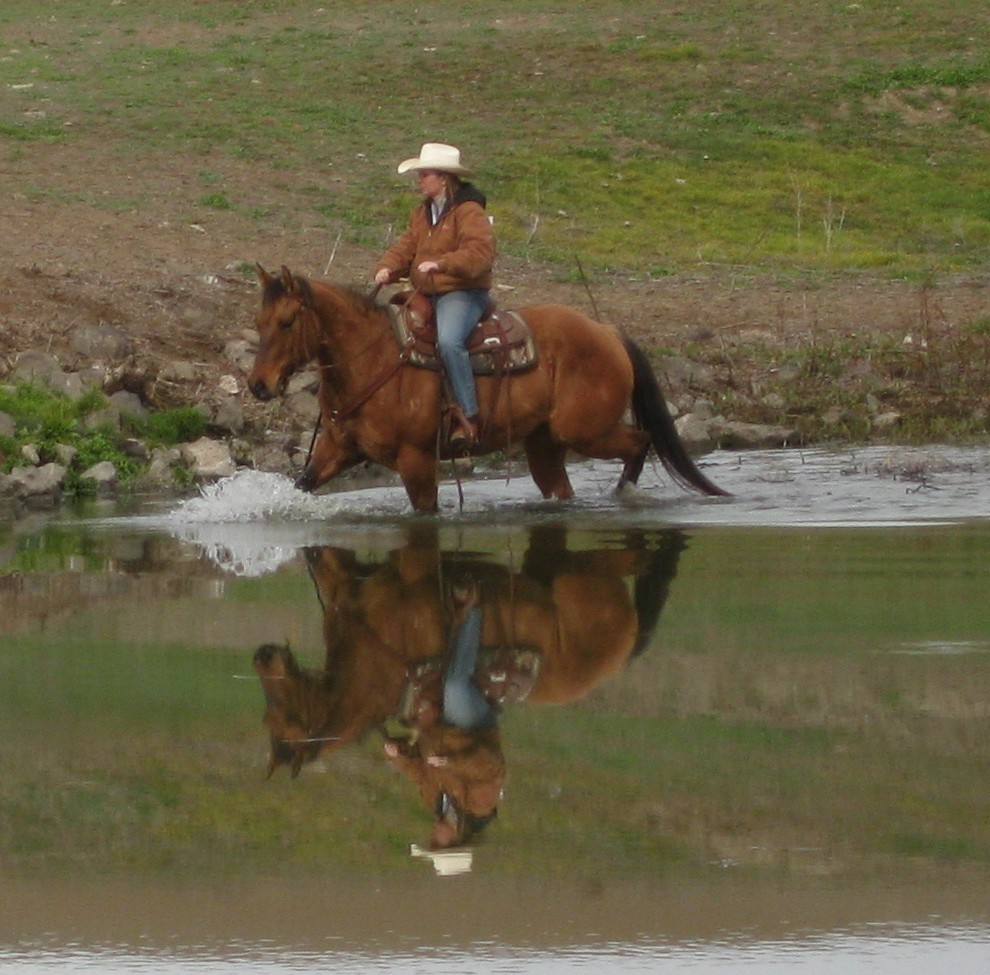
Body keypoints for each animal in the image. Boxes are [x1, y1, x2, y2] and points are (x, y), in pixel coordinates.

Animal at [248, 265, 727, 511]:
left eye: (287, 322)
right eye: (259, 320)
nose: (258, 385)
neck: (373, 359)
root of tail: (607, 331)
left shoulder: (416, 460)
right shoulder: (338, 448)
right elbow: (303, 484)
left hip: (585, 430)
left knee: (640, 441)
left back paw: (624, 493)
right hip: (545, 445)